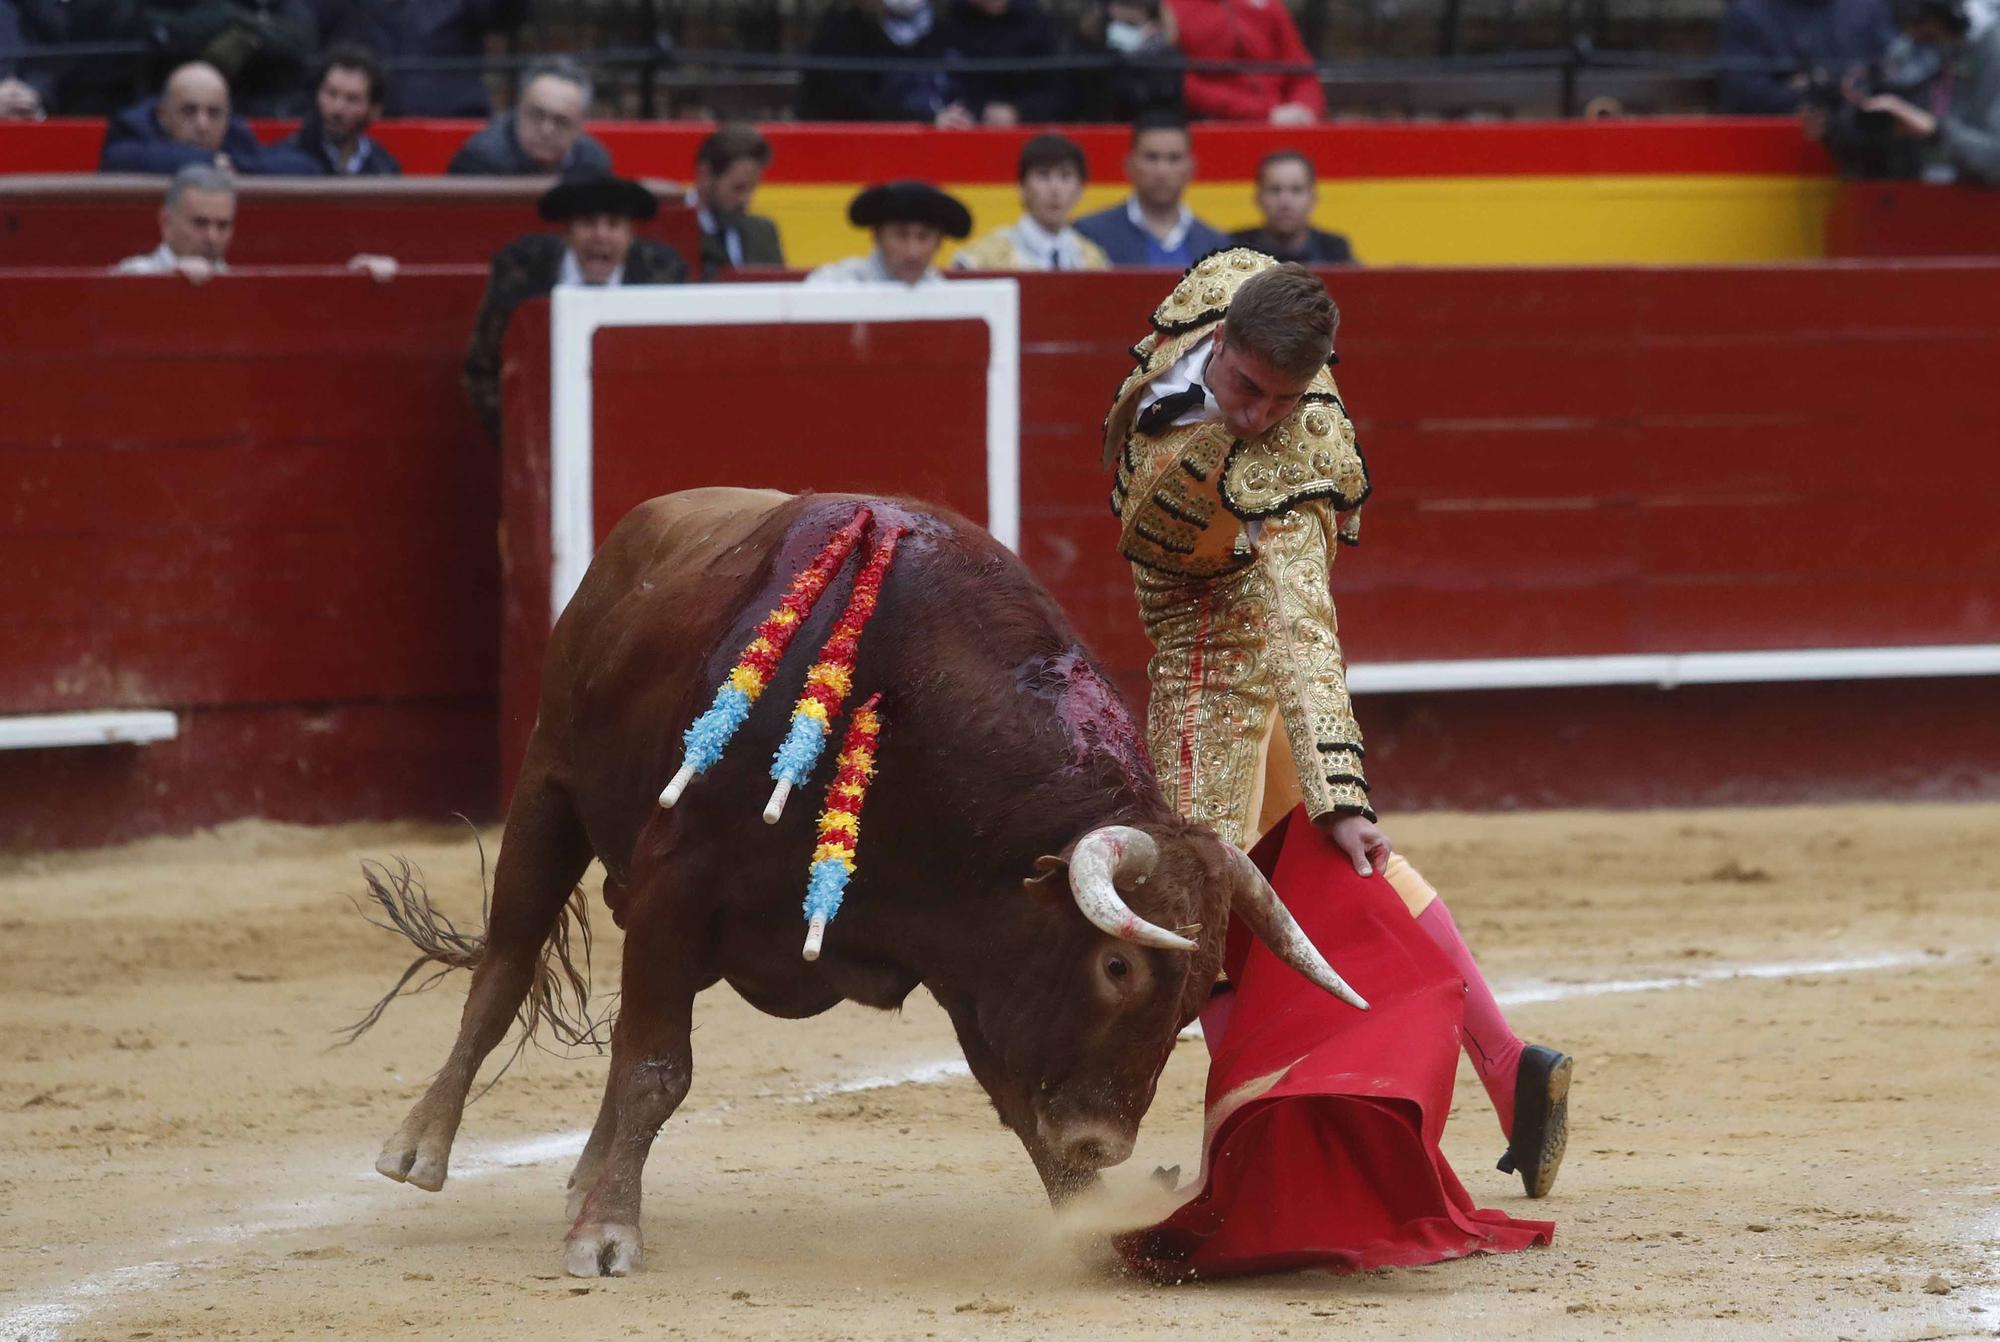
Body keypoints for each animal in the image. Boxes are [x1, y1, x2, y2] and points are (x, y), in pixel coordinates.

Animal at [360, 490, 1360, 1280]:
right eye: (1117, 967)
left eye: (1199, 994)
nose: (1103, 1143)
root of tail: (636, 534)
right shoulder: (675, 886)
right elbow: (654, 1068)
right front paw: (605, 1237)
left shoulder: (973, 952)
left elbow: (1014, 1098)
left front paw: (1095, 1231)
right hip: (547, 788)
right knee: (504, 969)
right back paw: (420, 1149)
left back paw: (580, 1178)